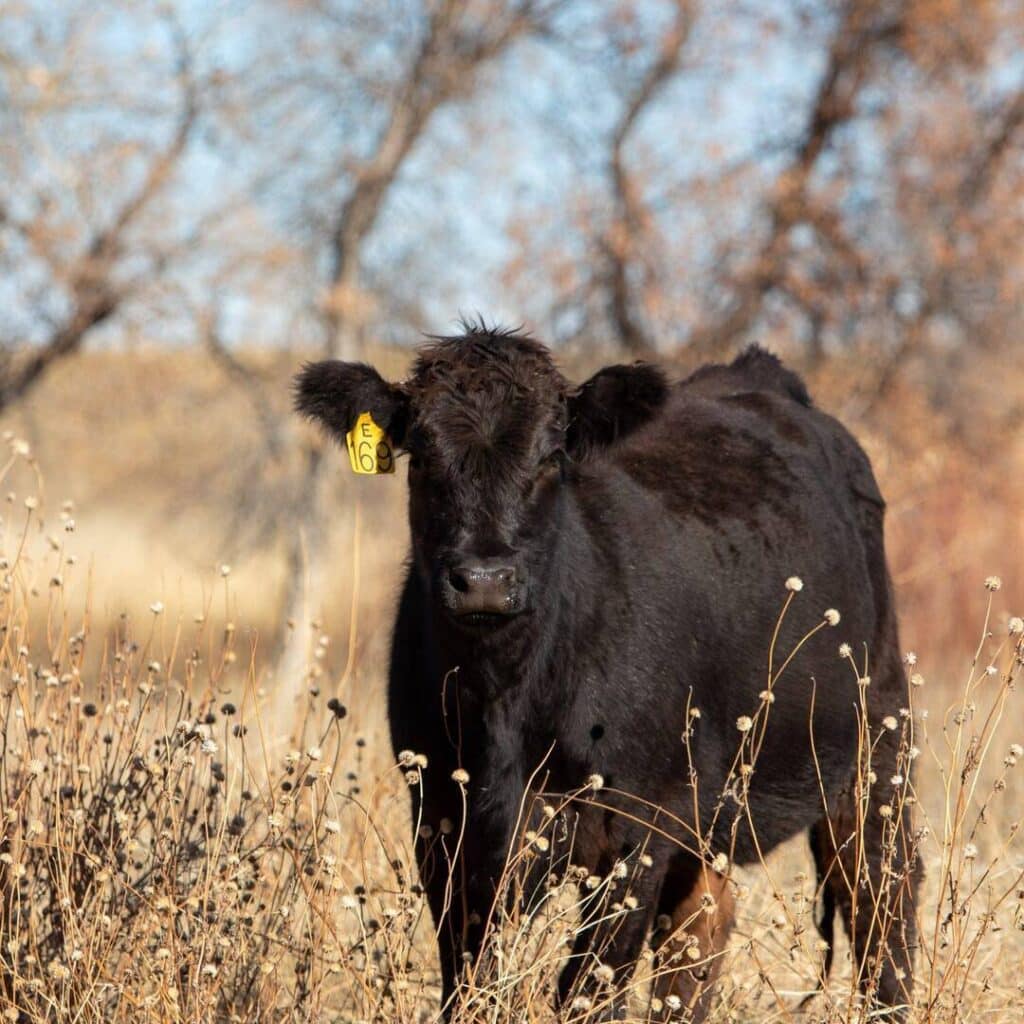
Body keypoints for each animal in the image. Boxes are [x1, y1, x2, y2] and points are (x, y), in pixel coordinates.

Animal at [295, 324, 919, 1021]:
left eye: (549, 458)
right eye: (423, 456)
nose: (484, 580)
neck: (506, 699)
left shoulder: (636, 829)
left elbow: (587, 991)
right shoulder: (442, 823)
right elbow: (471, 982)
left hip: (876, 744)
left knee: (882, 907)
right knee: (698, 940)